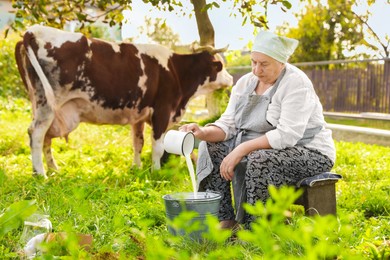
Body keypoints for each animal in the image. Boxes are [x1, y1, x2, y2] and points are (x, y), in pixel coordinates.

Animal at [16, 25, 232, 178]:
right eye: (220, 65)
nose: (231, 79)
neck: (176, 71)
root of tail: (33, 30)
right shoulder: (162, 110)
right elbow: (157, 146)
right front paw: (155, 172)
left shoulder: (139, 115)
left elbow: (138, 142)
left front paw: (136, 168)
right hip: (47, 103)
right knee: (36, 133)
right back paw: (41, 174)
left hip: (43, 104)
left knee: (46, 137)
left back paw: (53, 169)